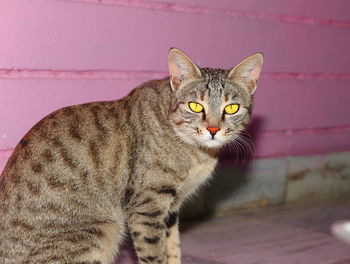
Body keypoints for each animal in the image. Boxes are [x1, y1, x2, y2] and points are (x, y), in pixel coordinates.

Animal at [0, 48, 262, 264]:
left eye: (232, 108)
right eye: (195, 106)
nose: (213, 129)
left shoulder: (171, 207)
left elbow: (173, 248)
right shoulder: (148, 204)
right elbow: (154, 253)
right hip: (101, 230)